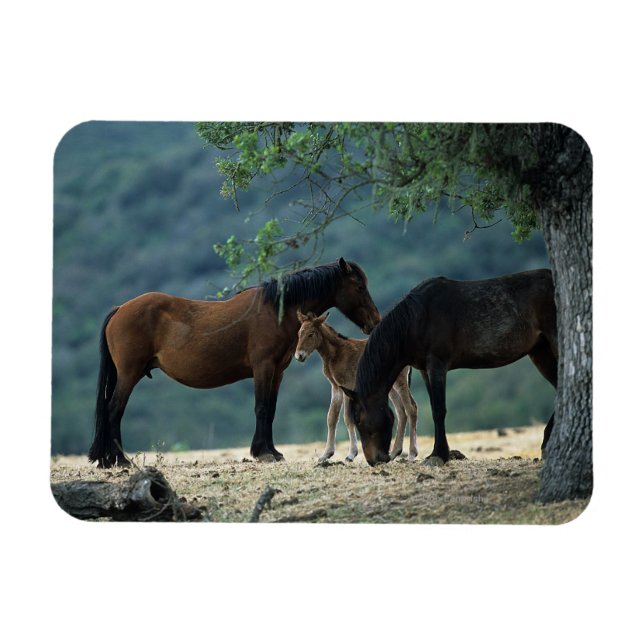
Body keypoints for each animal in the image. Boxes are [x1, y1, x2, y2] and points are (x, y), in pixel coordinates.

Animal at [89, 258, 380, 467]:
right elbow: (261, 408)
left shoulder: (277, 372)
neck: (275, 310)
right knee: (113, 411)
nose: (375, 322)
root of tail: (120, 309)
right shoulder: (263, 368)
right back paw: (121, 460)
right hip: (129, 374)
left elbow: (271, 410)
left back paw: (108, 460)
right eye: (359, 286)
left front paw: (272, 451)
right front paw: (263, 453)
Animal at [294, 311, 418, 462]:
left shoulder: (348, 385)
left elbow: (348, 418)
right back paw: (394, 453)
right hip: (390, 386)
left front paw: (351, 454)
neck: (336, 353)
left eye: (311, 334)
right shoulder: (336, 387)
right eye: (299, 333)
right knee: (401, 411)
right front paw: (326, 454)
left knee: (411, 408)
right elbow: (331, 418)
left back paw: (412, 454)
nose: (299, 356)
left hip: (400, 381)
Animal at [342, 269, 558, 466]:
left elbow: (439, 410)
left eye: (358, 419)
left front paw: (439, 455)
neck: (418, 319)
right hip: (540, 352)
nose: (373, 460)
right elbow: (433, 407)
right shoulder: (424, 370)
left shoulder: (438, 365)